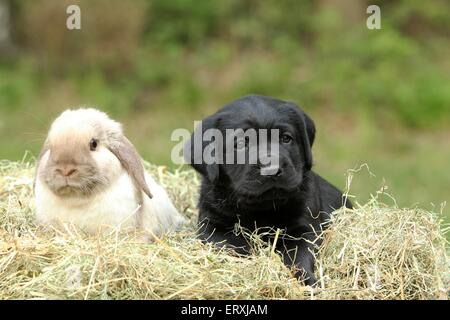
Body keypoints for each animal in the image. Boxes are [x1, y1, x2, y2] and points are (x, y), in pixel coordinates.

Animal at [185, 95, 350, 284]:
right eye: (240, 143)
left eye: (286, 138)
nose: (272, 168)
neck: (261, 209)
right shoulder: (212, 226)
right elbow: (232, 246)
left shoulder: (304, 228)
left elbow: (299, 255)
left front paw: (306, 279)